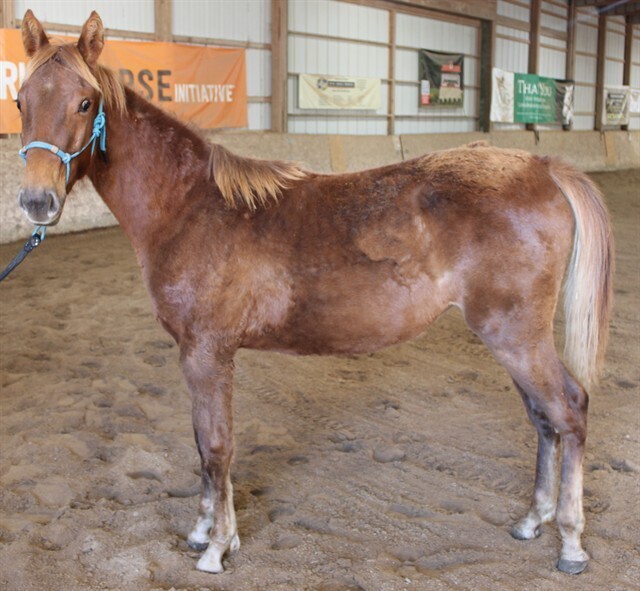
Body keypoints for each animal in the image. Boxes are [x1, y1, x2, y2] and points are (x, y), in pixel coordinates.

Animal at [16, 10, 613, 576]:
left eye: (84, 102)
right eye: (20, 100)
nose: (36, 201)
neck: (191, 207)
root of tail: (542, 166)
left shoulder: (208, 354)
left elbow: (217, 447)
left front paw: (217, 548)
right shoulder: (195, 356)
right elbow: (202, 444)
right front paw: (204, 530)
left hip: (515, 335)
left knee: (569, 409)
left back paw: (570, 543)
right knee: (543, 418)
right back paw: (532, 520)